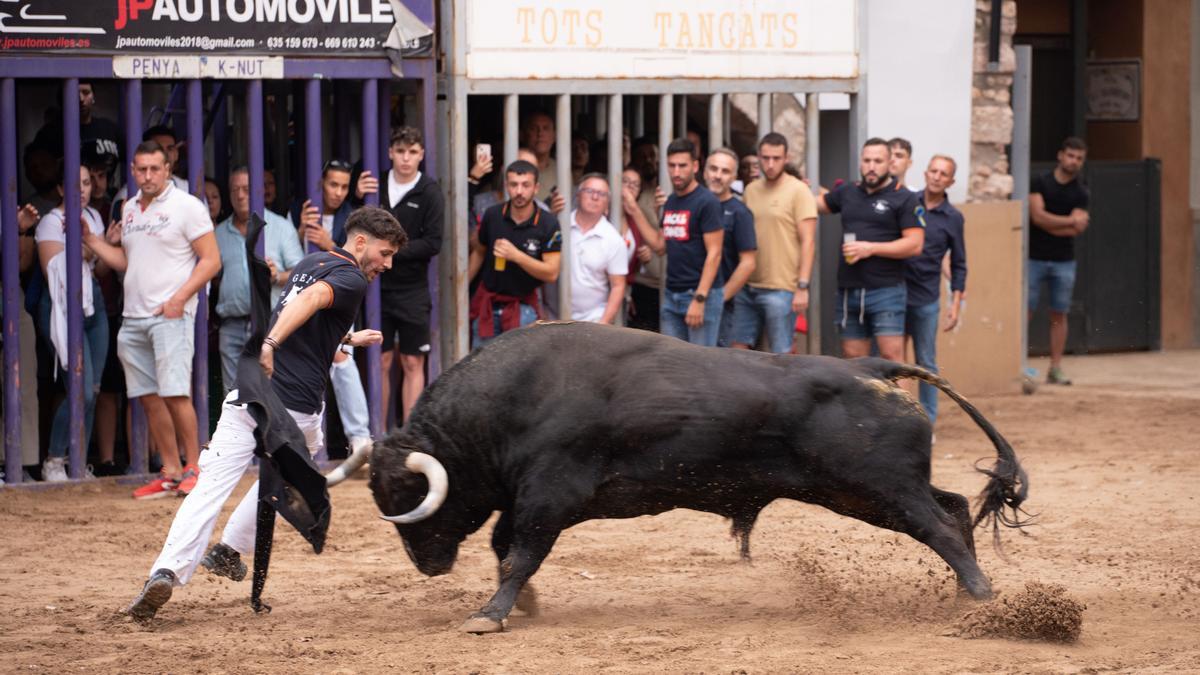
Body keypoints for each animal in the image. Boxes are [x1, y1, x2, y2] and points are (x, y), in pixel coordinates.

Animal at [369, 319, 1027, 629]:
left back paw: (979, 597)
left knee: (940, 528)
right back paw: (967, 595)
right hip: (866, 492)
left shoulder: (550, 494)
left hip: (880, 490)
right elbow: (506, 548)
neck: (513, 397)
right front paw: (519, 604)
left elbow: (519, 553)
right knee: (953, 508)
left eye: (410, 493)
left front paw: (490, 614)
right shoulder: (528, 498)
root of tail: (873, 366)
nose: (427, 565)